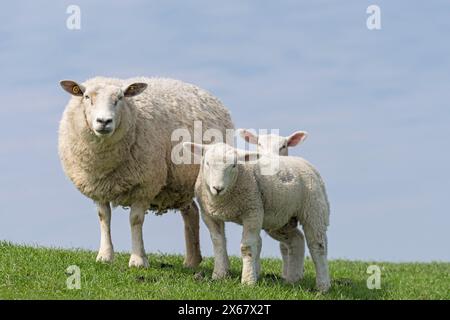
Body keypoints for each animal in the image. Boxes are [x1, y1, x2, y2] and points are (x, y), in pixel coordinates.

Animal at [58, 77, 234, 268]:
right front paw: (105, 256)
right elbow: (104, 217)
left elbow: (135, 220)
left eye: (120, 98)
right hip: (181, 186)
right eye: (87, 97)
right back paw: (192, 261)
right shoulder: (98, 187)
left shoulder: (145, 184)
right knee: (191, 212)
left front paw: (138, 260)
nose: (104, 121)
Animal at [183, 141, 330, 292]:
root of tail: (306, 163)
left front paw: (248, 281)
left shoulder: (252, 212)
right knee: (297, 240)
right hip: (280, 218)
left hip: (314, 209)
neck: (223, 200)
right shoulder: (209, 215)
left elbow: (247, 247)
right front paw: (219, 274)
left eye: (234, 165)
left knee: (318, 245)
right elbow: (218, 242)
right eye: (207, 163)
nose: (218, 188)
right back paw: (292, 280)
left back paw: (323, 286)